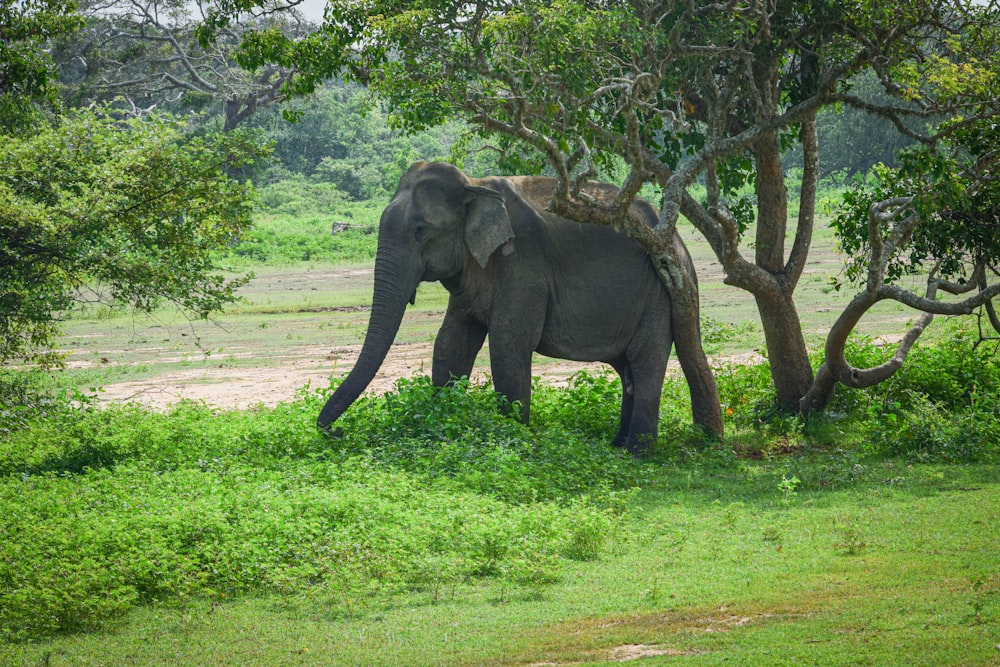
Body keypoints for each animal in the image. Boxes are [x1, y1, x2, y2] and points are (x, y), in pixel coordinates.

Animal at [316, 162, 700, 454]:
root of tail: (677, 240)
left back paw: (637, 452)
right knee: (627, 369)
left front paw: (513, 441)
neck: (474, 186)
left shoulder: (524, 266)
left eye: (421, 230)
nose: (337, 432)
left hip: (660, 291)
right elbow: (450, 345)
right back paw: (618, 445)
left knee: (645, 362)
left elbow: (508, 345)